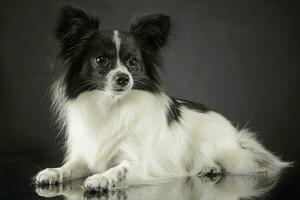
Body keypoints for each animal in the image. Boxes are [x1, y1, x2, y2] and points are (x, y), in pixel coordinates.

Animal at [34, 5, 288, 191]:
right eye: (101, 60)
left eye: (132, 63)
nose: (123, 78)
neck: (111, 105)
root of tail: (235, 134)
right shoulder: (86, 155)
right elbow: (69, 166)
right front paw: (53, 172)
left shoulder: (140, 164)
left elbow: (119, 169)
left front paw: (101, 178)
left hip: (223, 152)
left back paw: (211, 167)